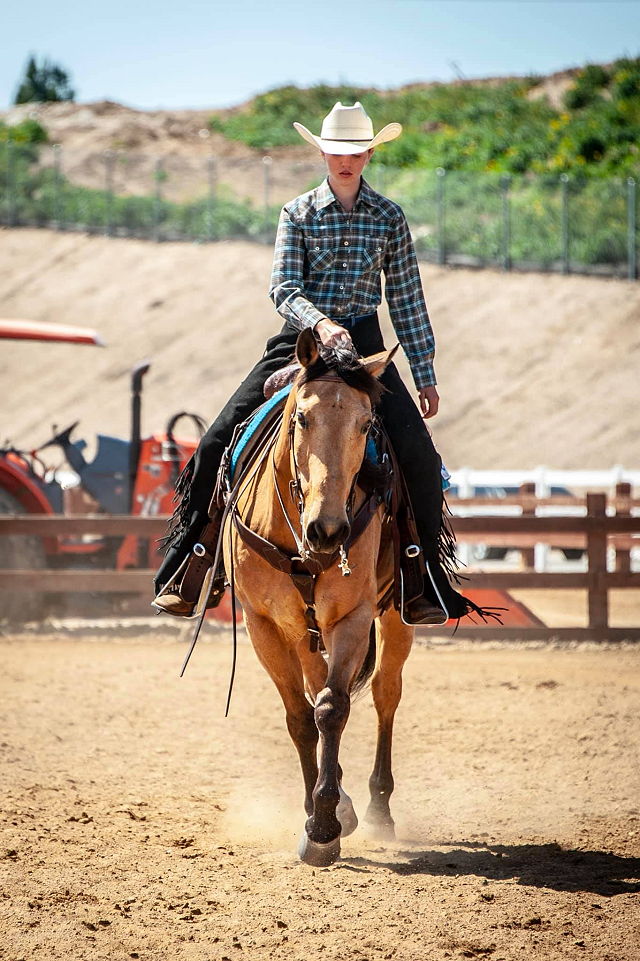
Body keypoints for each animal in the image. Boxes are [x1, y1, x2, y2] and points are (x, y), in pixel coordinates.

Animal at [223, 327, 414, 866]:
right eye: (302, 417)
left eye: (367, 423)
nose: (328, 530)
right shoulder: (263, 625)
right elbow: (301, 718)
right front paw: (320, 816)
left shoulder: (352, 617)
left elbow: (332, 709)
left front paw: (325, 824)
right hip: (302, 631)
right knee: (314, 687)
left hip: (395, 618)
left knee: (384, 693)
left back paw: (377, 809)